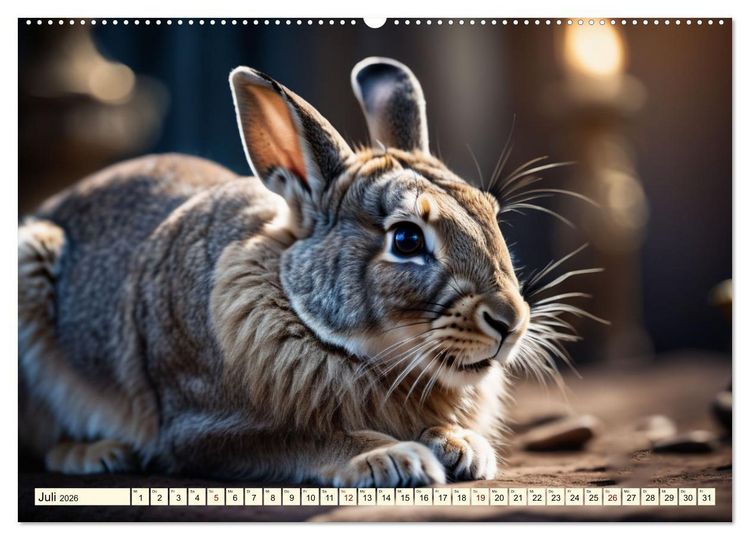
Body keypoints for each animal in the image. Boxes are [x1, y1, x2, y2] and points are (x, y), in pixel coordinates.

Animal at [18, 57, 574, 487]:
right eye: (406, 239)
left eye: (490, 213)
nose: (510, 321)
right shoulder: (207, 430)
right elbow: (311, 436)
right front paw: (396, 458)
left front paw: (461, 446)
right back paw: (94, 453)